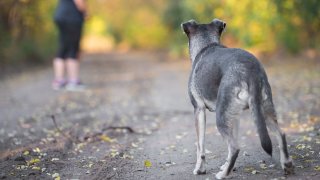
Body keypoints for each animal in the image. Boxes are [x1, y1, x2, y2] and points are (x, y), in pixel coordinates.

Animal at [181, 19, 294, 179]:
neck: (207, 44)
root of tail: (250, 70)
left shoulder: (199, 110)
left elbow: (200, 146)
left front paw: (200, 169)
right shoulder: (234, 115)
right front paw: (227, 165)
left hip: (221, 117)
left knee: (235, 147)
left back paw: (223, 175)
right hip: (264, 110)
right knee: (281, 134)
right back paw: (287, 164)